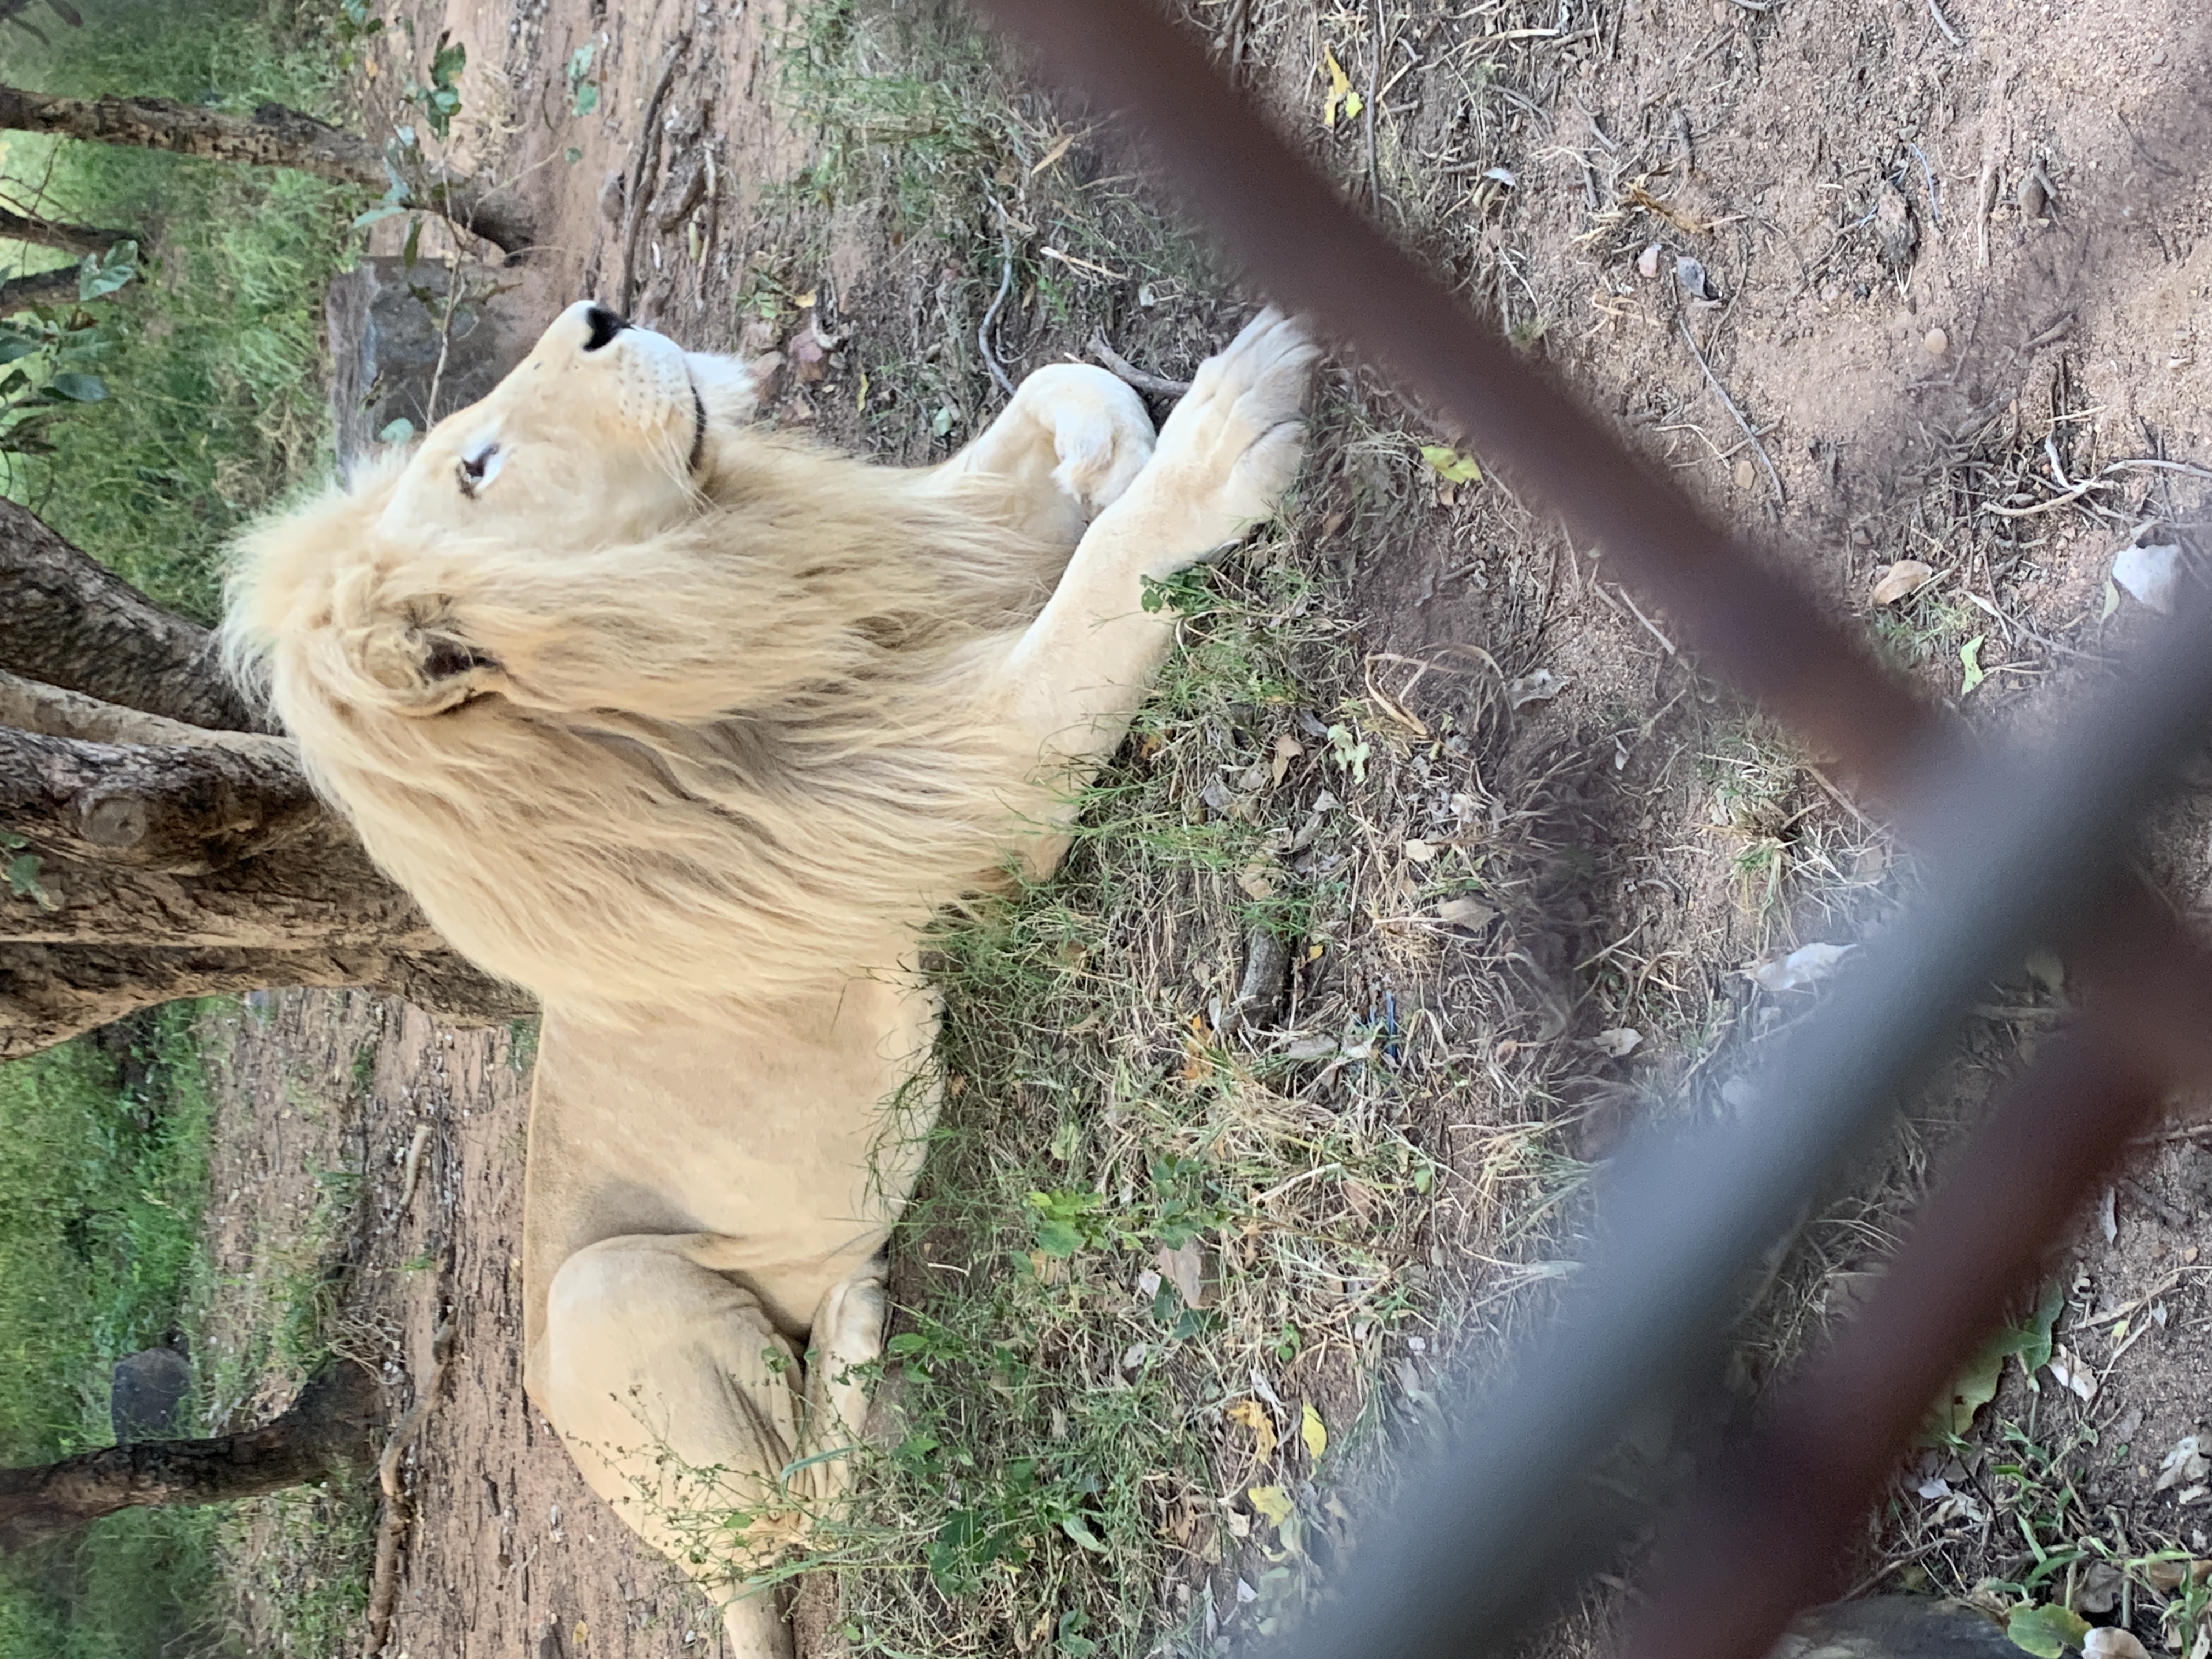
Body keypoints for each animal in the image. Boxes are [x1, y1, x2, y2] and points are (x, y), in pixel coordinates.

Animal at [223, 298, 1317, 1656]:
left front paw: (1105, 443)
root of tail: (690, 1569)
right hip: (610, 1290)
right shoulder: (983, 790)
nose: (597, 315)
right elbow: (1107, 580)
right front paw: (1222, 435)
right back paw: (852, 1327)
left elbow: (1052, 397)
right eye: (476, 468)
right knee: (813, 1521)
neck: (710, 628)